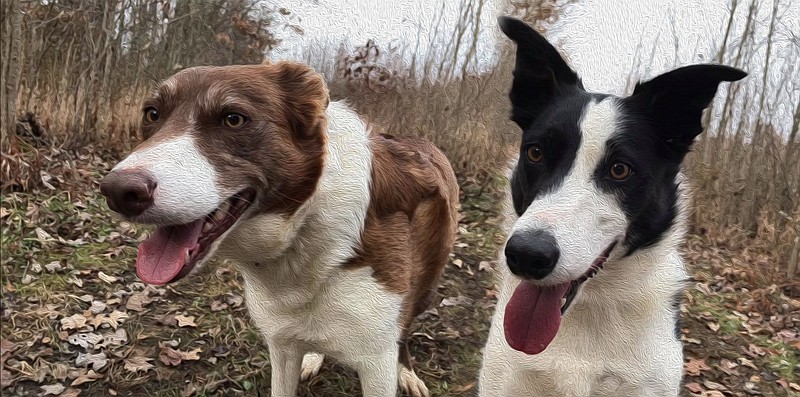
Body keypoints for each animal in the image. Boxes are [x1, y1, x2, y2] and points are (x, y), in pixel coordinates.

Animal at [100, 60, 460, 394]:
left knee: (406, 329)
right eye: (152, 114)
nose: (118, 192)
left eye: (233, 119)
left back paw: (408, 373)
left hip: (424, 288)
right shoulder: (282, 344)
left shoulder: (376, 362)